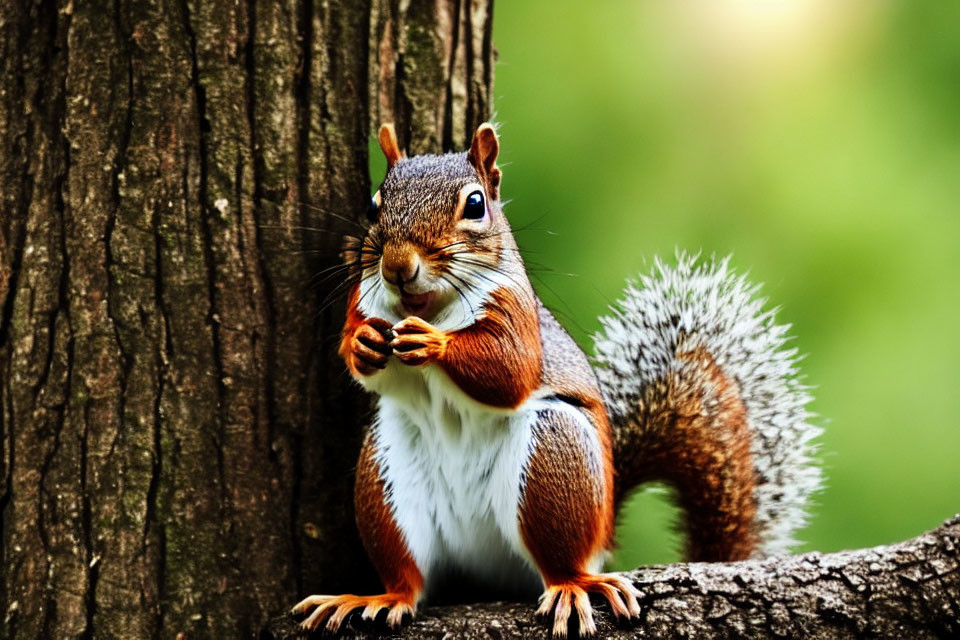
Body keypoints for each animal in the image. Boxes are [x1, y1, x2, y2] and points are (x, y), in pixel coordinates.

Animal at [290, 122, 816, 636]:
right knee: (409, 579)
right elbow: (358, 353)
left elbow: (509, 370)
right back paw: (379, 596)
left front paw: (435, 342)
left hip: (554, 452)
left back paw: (573, 584)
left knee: (560, 561)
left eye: (475, 205)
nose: (399, 266)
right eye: (373, 204)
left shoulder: (516, 312)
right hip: (385, 476)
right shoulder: (365, 299)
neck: (429, 305)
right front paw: (363, 343)